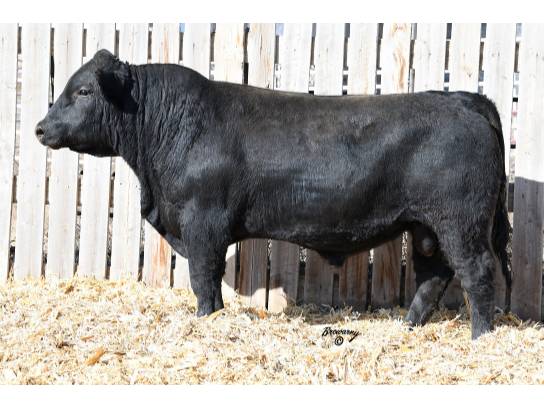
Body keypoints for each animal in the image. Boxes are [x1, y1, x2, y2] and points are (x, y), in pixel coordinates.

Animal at [36, 49, 511, 340]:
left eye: (83, 90)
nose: (40, 128)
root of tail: (465, 99)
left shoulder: (203, 223)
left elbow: (203, 279)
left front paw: (205, 320)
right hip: (425, 226)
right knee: (434, 276)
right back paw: (408, 327)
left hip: (461, 222)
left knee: (478, 272)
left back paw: (481, 336)